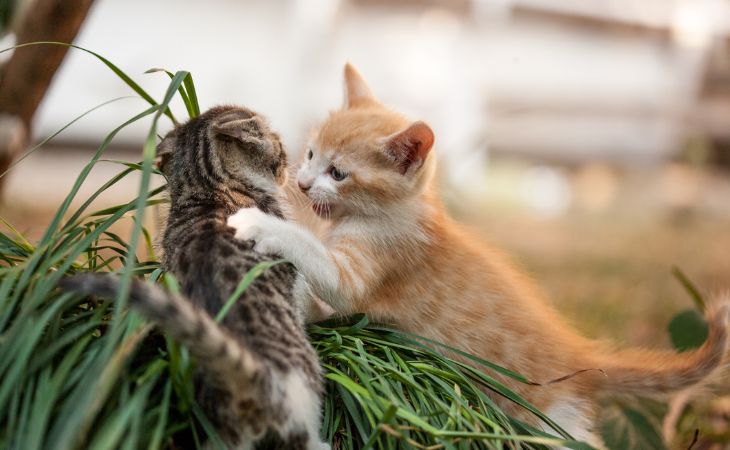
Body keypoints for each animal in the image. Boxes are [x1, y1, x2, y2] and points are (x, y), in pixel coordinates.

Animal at [229, 63, 728, 446]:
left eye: (338, 173)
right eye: (312, 154)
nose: (303, 183)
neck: (395, 212)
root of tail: (576, 354)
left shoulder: (366, 267)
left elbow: (321, 264)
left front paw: (261, 224)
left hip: (550, 417)